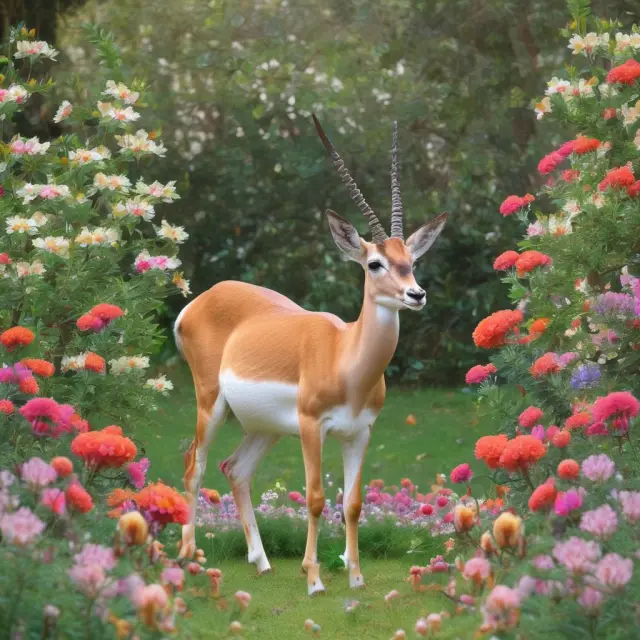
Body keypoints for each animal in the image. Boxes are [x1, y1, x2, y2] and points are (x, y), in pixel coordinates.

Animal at [175, 115, 447, 595]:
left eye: (411, 260)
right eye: (374, 263)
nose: (416, 294)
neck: (345, 356)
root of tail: (200, 300)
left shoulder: (360, 432)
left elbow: (353, 503)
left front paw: (355, 577)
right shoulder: (310, 428)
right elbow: (317, 499)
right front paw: (315, 578)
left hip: (263, 427)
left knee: (235, 469)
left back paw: (262, 562)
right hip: (211, 404)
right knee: (196, 463)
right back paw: (189, 555)